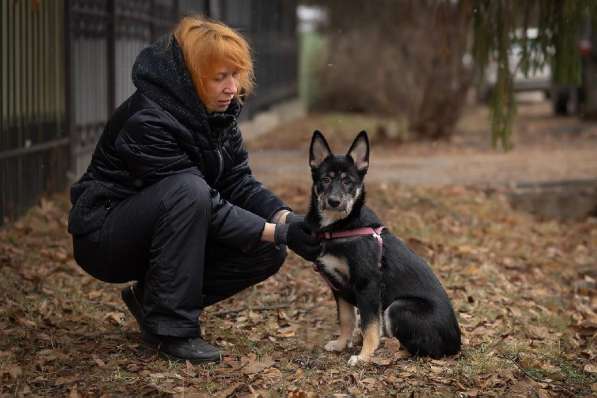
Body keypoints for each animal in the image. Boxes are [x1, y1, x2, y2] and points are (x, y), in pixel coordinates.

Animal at [304, 131, 458, 366]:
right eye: (325, 179)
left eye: (348, 182)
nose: (334, 201)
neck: (340, 227)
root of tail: (456, 346)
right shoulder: (337, 286)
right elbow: (347, 319)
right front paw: (341, 344)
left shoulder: (367, 285)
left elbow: (369, 326)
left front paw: (364, 356)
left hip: (399, 307)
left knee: (421, 349)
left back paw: (391, 353)